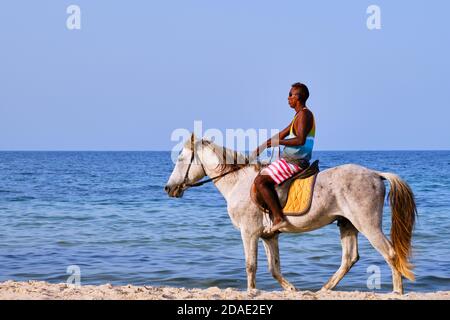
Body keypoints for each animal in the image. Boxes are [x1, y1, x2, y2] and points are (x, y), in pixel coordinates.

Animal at [163, 134, 416, 294]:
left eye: (181, 159)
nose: (169, 188)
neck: (237, 182)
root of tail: (376, 174)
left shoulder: (249, 232)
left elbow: (250, 265)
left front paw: (251, 291)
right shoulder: (269, 236)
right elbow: (273, 268)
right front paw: (292, 289)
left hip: (367, 224)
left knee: (390, 253)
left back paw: (397, 291)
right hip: (347, 224)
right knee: (349, 258)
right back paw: (324, 290)